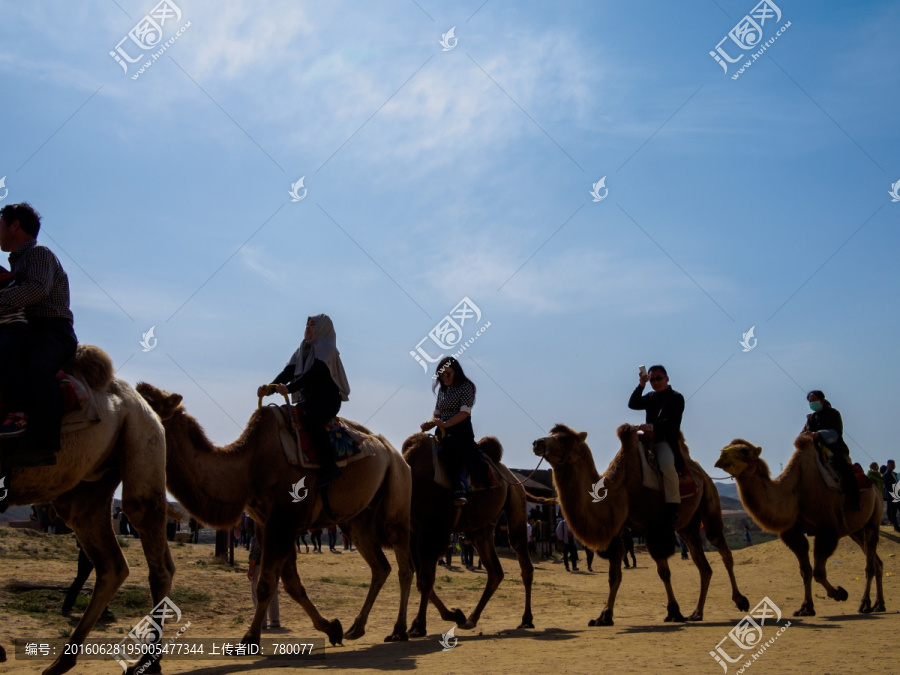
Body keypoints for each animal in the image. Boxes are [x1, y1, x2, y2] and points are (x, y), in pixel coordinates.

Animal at [0, 348, 174, 675]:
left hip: (141, 440)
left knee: (155, 558)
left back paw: (147, 661)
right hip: (85, 491)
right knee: (112, 565)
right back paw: (60, 662)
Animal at [136, 382, 414, 648]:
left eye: (148, 405)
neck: (249, 465)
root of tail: (392, 451)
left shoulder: (283, 521)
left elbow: (267, 583)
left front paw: (249, 639)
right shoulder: (266, 523)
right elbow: (291, 584)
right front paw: (331, 628)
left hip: (396, 496)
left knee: (404, 565)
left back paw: (399, 630)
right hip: (356, 521)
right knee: (380, 566)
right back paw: (356, 628)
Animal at [402, 434, 540, 640]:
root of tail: (509, 475)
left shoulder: (434, 531)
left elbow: (426, 580)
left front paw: (419, 626)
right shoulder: (414, 533)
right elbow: (421, 580)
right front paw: (455, 615)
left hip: (516, 501)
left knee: (522, 558)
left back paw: (526, 619)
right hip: (481, 529)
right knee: (495, 571)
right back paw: (471, 619)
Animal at [532, 426, 748, 624]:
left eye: (564, 439)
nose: (537, 443)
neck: (619, 490)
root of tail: (700, 472)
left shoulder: (655, 528)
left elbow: (664, 572)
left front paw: (673, 612)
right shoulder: (617, 531)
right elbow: (614, 575)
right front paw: (604, 616)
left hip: (709, 500)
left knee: (721, 547)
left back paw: (740, 600)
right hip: (687, 526)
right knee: (703, 564)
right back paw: (697, 613)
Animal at [716, 436, 884, 616]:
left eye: (744, 450)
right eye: (725, 447)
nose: (721, 457)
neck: (796, 493)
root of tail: (876, 490)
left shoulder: (827, 530)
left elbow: (818, 572)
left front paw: (840, 593)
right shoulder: (793, 533)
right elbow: (805, 571)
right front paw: (806, 607)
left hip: (873, 521)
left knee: (869, 565)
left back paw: (865, 604)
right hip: (855, 530)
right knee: (876, 562)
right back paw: (879, 604)